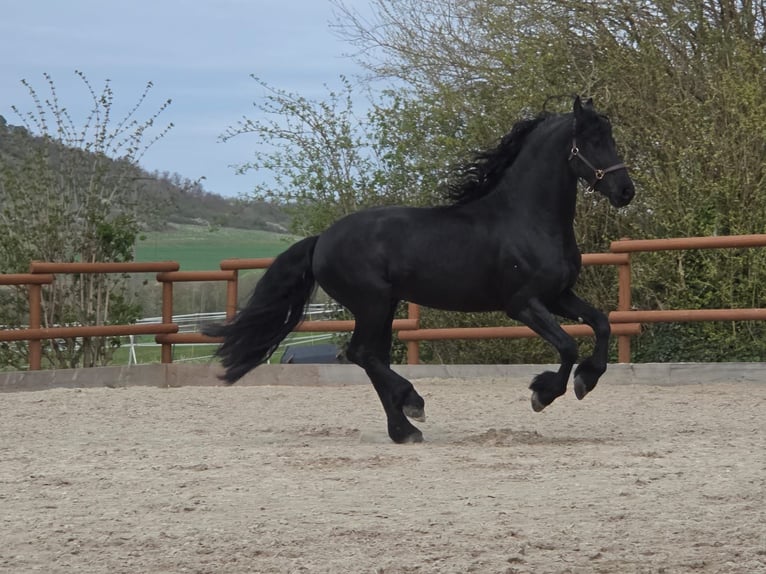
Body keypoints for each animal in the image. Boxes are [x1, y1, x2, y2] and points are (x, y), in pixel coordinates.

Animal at [204, 96, 635, 444]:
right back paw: (412, 406)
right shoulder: (523, 304)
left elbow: (601, 323)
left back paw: (404, 428)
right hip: (373, 303)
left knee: (371, 357)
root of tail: (322, 239)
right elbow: (567, 345)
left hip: (385, 306)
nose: (625, 192)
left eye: (611, 136)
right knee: (362, 354)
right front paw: (543, 394)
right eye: (592, 140)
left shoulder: (558, 296)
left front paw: (586, 379)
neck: (528, 220)